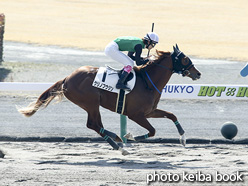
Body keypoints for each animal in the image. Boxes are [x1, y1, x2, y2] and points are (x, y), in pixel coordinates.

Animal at [19, 45, 202, 155]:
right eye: (185, 59)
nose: (198, 73)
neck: (148, 82)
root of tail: (67, 78)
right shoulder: (135, 114)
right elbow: (152, 131)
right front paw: (130, 136)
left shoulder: (149, 111)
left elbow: (171, 115)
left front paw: (183, 139)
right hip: (91, 103)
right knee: (93, 124)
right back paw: (118, 143)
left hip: (91, 104)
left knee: (95, 125)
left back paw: (117, 141)